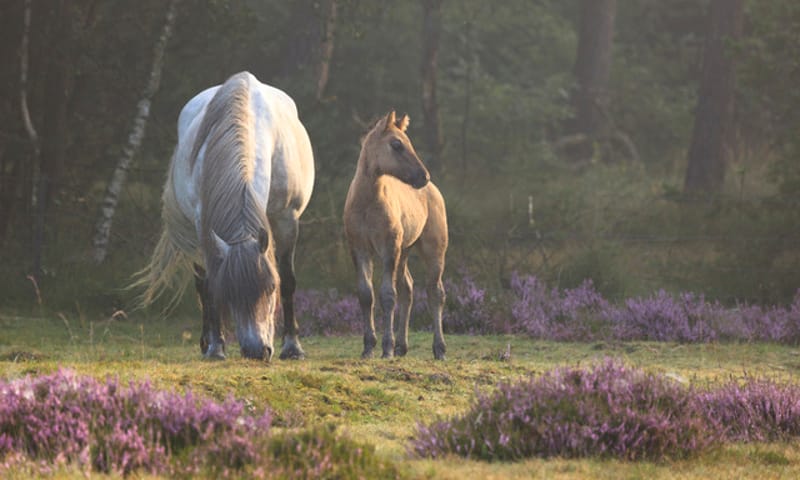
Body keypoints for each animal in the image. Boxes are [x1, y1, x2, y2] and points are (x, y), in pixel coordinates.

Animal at [135, 71, 314, 361]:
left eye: (270, 288)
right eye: (230, 292)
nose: (256, 350)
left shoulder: (288, 218)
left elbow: (288, 279)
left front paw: (292, 347)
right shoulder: (202, 226)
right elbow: (210, 286)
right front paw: (216, 347)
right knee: (200, 283)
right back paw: (206, 341)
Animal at [343, 111, 448, 360]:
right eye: (397, 144)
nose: (423, 176)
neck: (367, 204)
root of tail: (434, 191)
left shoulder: (388, 249)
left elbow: (387, 296)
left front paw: (386, 348)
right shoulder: (359, 249)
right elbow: (366, 295)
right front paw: (368, 347)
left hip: (432, 249)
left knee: (435, 292)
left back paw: (439, 349)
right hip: (405, 251)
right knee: (407, 290)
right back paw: (402, 346)